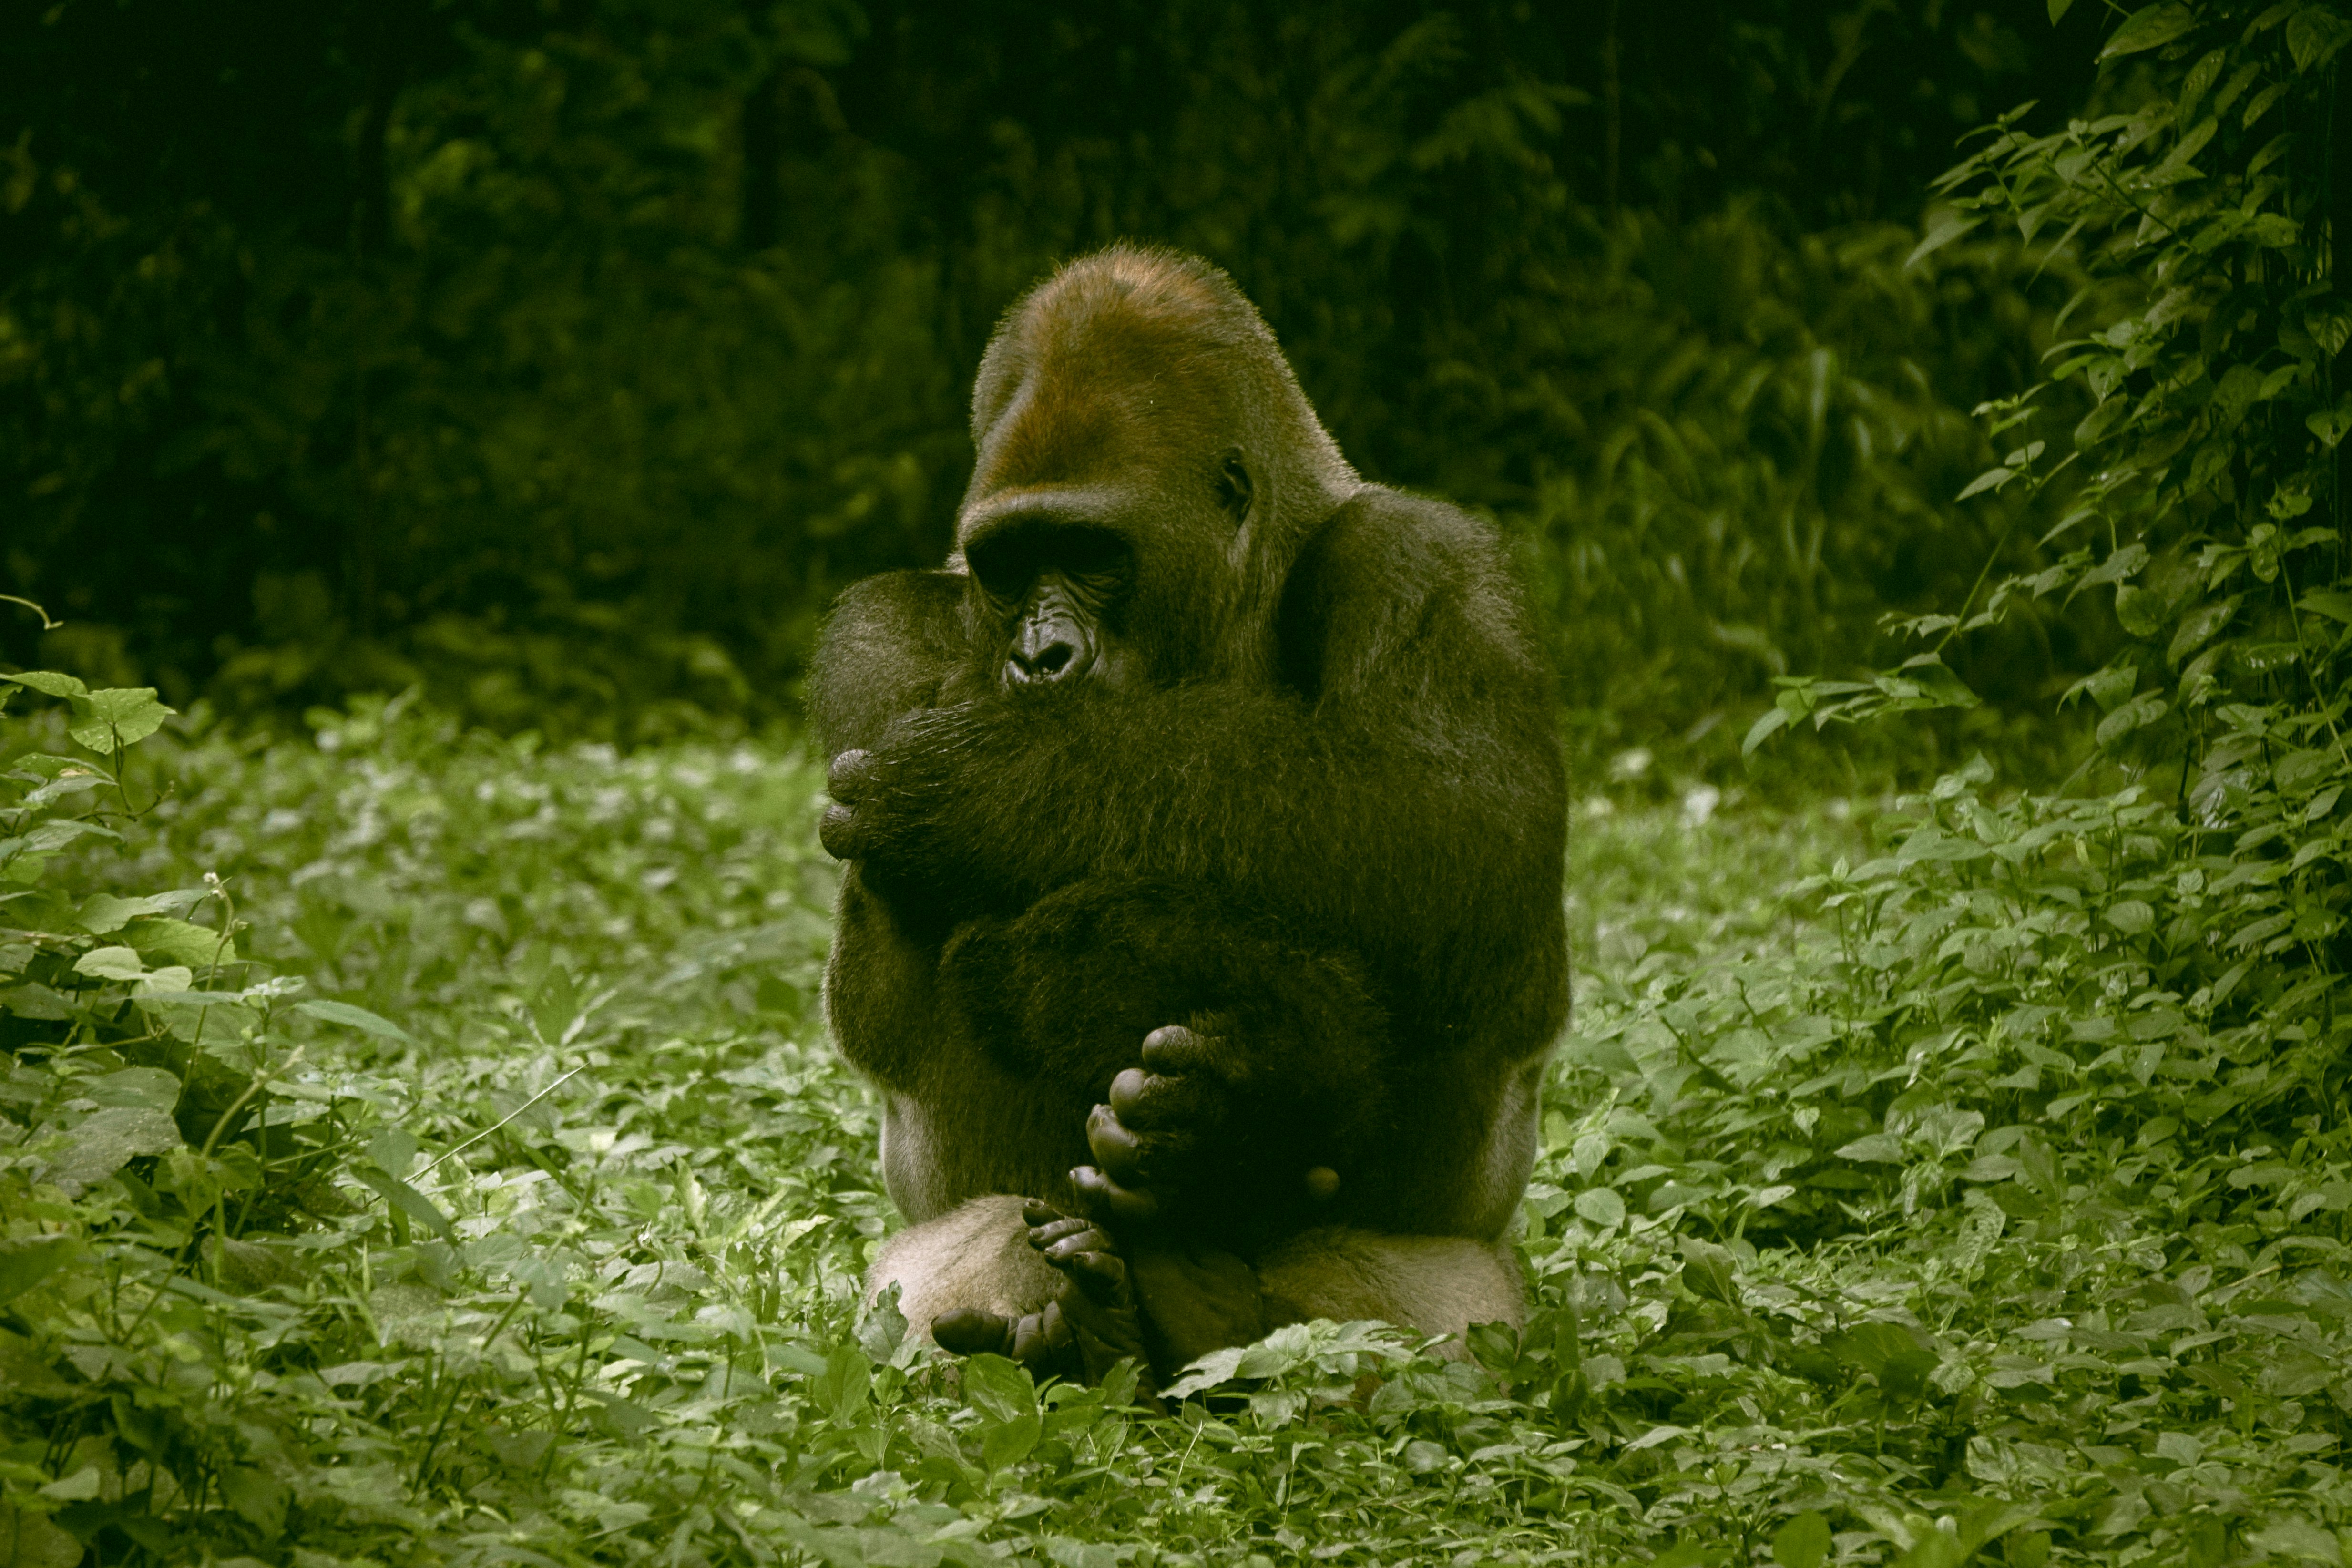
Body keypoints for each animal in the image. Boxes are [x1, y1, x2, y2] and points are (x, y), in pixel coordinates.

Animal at [809, 239, 1562, 1392]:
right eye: (1007, 564)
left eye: (1091, 553)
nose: (1040, 657)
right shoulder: (884, 634)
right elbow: (886, 999)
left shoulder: (1426, 562)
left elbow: (1464, 843)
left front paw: (1001, 796)